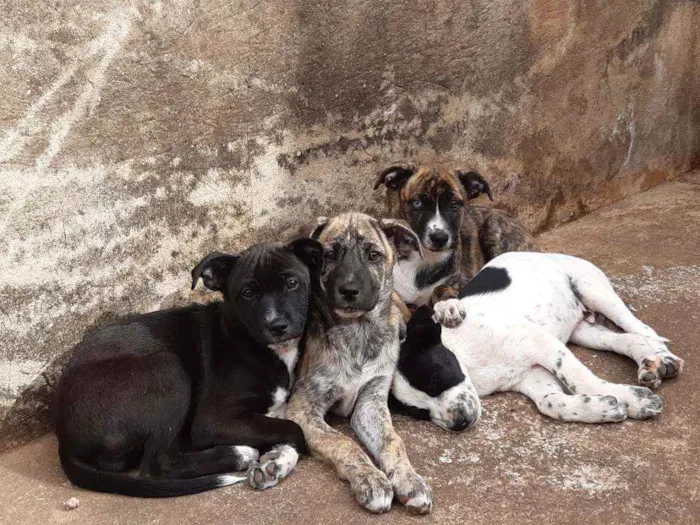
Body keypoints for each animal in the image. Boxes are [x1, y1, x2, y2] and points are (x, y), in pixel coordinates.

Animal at [57, 239, 320, 498]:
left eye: (292, 283)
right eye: (247, 293)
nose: (277, 326)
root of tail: (63, 438)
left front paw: (276, 462)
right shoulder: (213, 420)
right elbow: (294, 429)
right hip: (167, 368)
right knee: (158, 464)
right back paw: (237, 454)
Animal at [286, 211, 432, 512]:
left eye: (374, 255)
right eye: (329, 255)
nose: (349, 290)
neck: (359, 332)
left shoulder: (371, 402)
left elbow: (393, 441)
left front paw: (410, 479)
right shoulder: (303, 409)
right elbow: (343, 442)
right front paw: (371, 479)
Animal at [374, 161, 540, 324]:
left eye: (454, 204)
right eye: (417, 203)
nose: (439, 238)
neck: (423, 257)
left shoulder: (463, 286)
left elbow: (441, 287)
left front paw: (448, 305)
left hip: (494, 224)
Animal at [392, 251, 688, 426]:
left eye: (435, 379)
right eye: (419, 412)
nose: (459, 423)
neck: (468, 360)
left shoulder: (541, 344)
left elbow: (580, 379)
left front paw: (633, 400)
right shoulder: (530, 376)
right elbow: (551, 402)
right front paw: (603, 408)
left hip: (595, 291)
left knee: (644, 330)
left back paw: (664, 359)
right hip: (583, 331)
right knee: (625, 340)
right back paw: (648, 361)